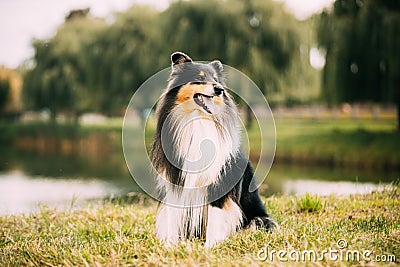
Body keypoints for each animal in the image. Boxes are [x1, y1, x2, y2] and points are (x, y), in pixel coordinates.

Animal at [151, 52, 278, 249]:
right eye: (200, 78)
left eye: (216, 80)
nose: (219, 89)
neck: (198, 121)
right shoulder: (175, 181)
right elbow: (172, 217)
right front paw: (170, 247)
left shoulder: (219, 183)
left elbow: (216, 219)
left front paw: (210, 248)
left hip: (258, 220)